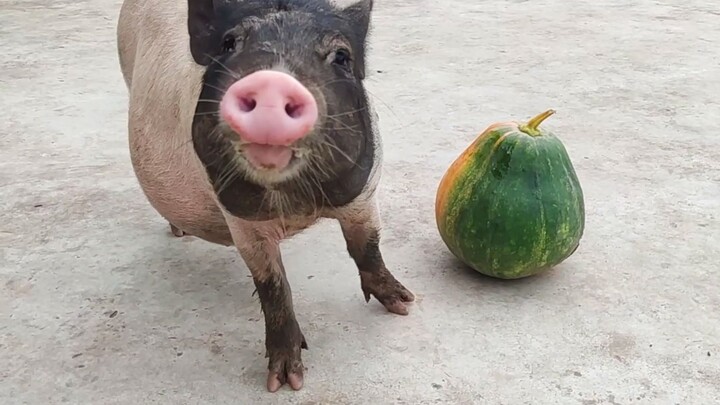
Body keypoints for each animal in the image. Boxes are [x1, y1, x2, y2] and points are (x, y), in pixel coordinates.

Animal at [116, 0, 414, 392]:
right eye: (229, 44)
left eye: (341, 56)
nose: (273, 80)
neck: (298, 207)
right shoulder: (242, 221)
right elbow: (272, 285)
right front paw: (285, 382)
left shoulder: (364, 192)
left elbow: (367, 246)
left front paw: (405, 305)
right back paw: (178, 232)